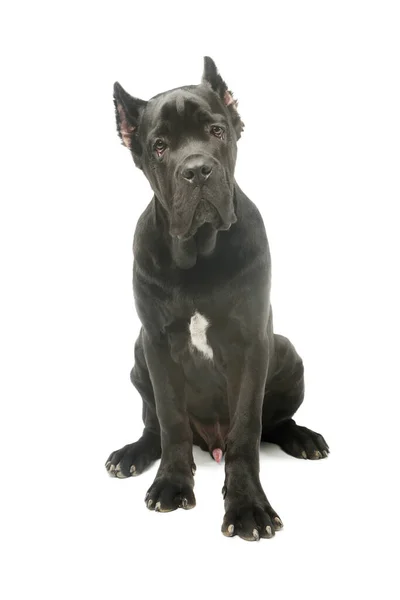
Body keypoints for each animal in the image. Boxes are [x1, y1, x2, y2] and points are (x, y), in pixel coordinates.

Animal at [106, 58, 328, 540]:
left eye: (216, 130)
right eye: (159, 146)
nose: (196, 170)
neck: (198, 255)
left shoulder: (250, 341)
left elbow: (247, 429)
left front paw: (247, 507)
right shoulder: (156, 342)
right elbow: (170, 420)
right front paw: (171, 484)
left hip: (285, 350)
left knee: (273, 424)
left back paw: (303, 438)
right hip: (138, 355)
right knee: (154, 425)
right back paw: (131, 454)